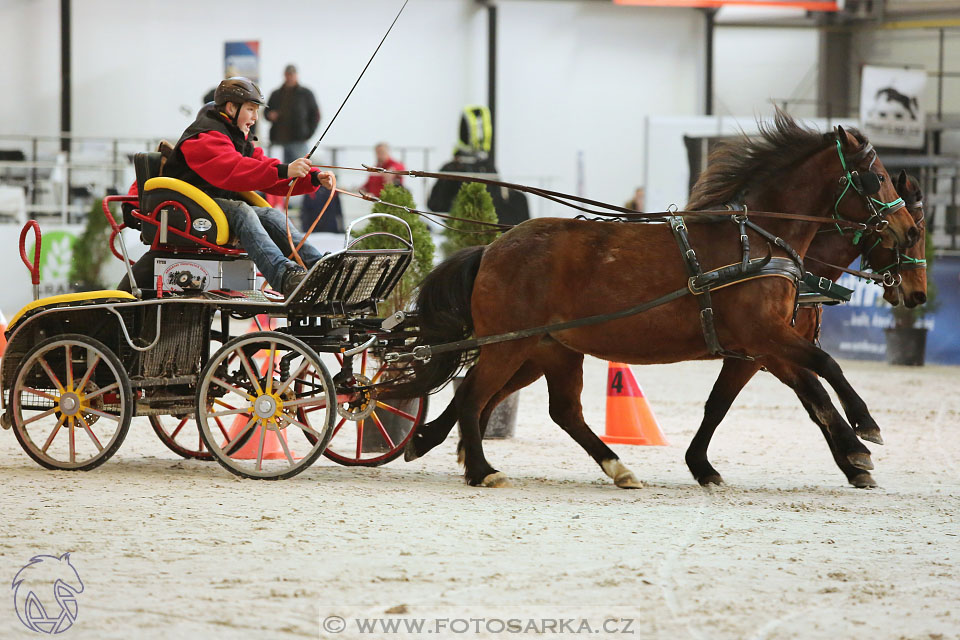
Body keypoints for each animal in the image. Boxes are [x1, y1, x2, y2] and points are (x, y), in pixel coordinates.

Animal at [688, 170, 928, 484]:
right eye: (917, 233)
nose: (920, 294)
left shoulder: (781, 349)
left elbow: (815, 404)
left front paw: (852, 464)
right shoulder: (764, 350)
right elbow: (722, 403)